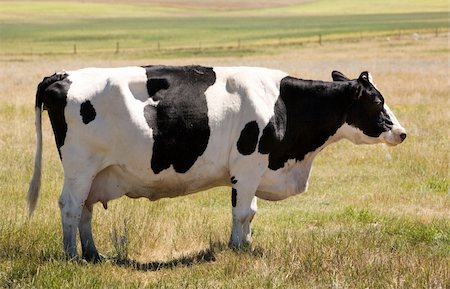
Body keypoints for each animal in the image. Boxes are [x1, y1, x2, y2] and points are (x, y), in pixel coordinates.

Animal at [28, 66, 408, 260]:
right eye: (377, 101)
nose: (402, 132)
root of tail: (61, 75)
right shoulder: (249, 164)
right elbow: (242, 211)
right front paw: (238, 248)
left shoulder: (255, 169)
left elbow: (250, 212)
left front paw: (247, 244)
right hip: (80, 166)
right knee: (70, 206)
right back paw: (72, 257)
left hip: (96, 172)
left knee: (86, 209)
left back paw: (94, 254)